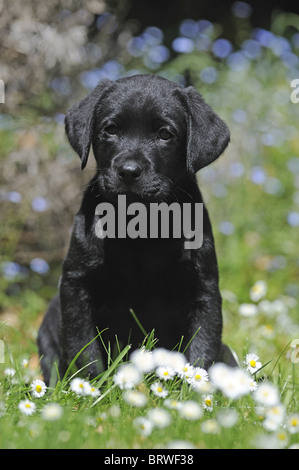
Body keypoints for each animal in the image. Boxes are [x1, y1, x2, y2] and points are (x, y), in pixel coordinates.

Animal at [37, 74, 236, 386]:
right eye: (110, 130)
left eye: (165, 134)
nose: (128, 171)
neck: (141, 227)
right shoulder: (76, 286)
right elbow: (83, 347)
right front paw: (89, 389)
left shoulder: (203, 289)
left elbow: (203, 347)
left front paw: (194, 388)